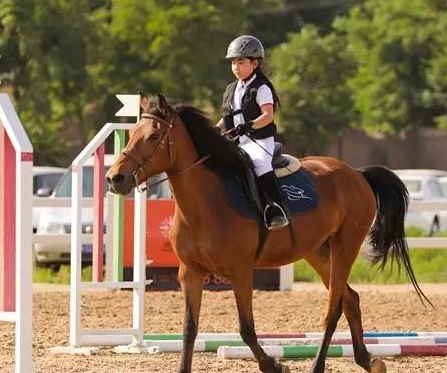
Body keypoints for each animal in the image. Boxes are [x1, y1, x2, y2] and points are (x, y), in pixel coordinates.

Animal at [106, 93, 430, 372]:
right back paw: (368, 360)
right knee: (350, 299)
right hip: (318, 252)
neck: (205, 204)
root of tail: (357, 174)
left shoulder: (240, 272)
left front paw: (274, 365)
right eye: (131, 135)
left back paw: (319, 366)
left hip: (345, 247)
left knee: (333, 308)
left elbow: (246, 329)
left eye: (153, 136)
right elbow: (190, 328)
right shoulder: (190, 273)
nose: (114, 178)